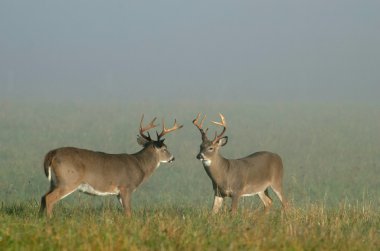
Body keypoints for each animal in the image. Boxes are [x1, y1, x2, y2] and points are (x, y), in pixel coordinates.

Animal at [39, 115, 182, 218]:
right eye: (164, 148)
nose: (173, 158)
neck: (140, 165)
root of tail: (52, 153)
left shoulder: (118, 192)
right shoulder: (126, 187)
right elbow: (128, 212)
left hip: (54, 182)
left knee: (43, 197)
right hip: (68, 181)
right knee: (49, 198)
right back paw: (50, 220)